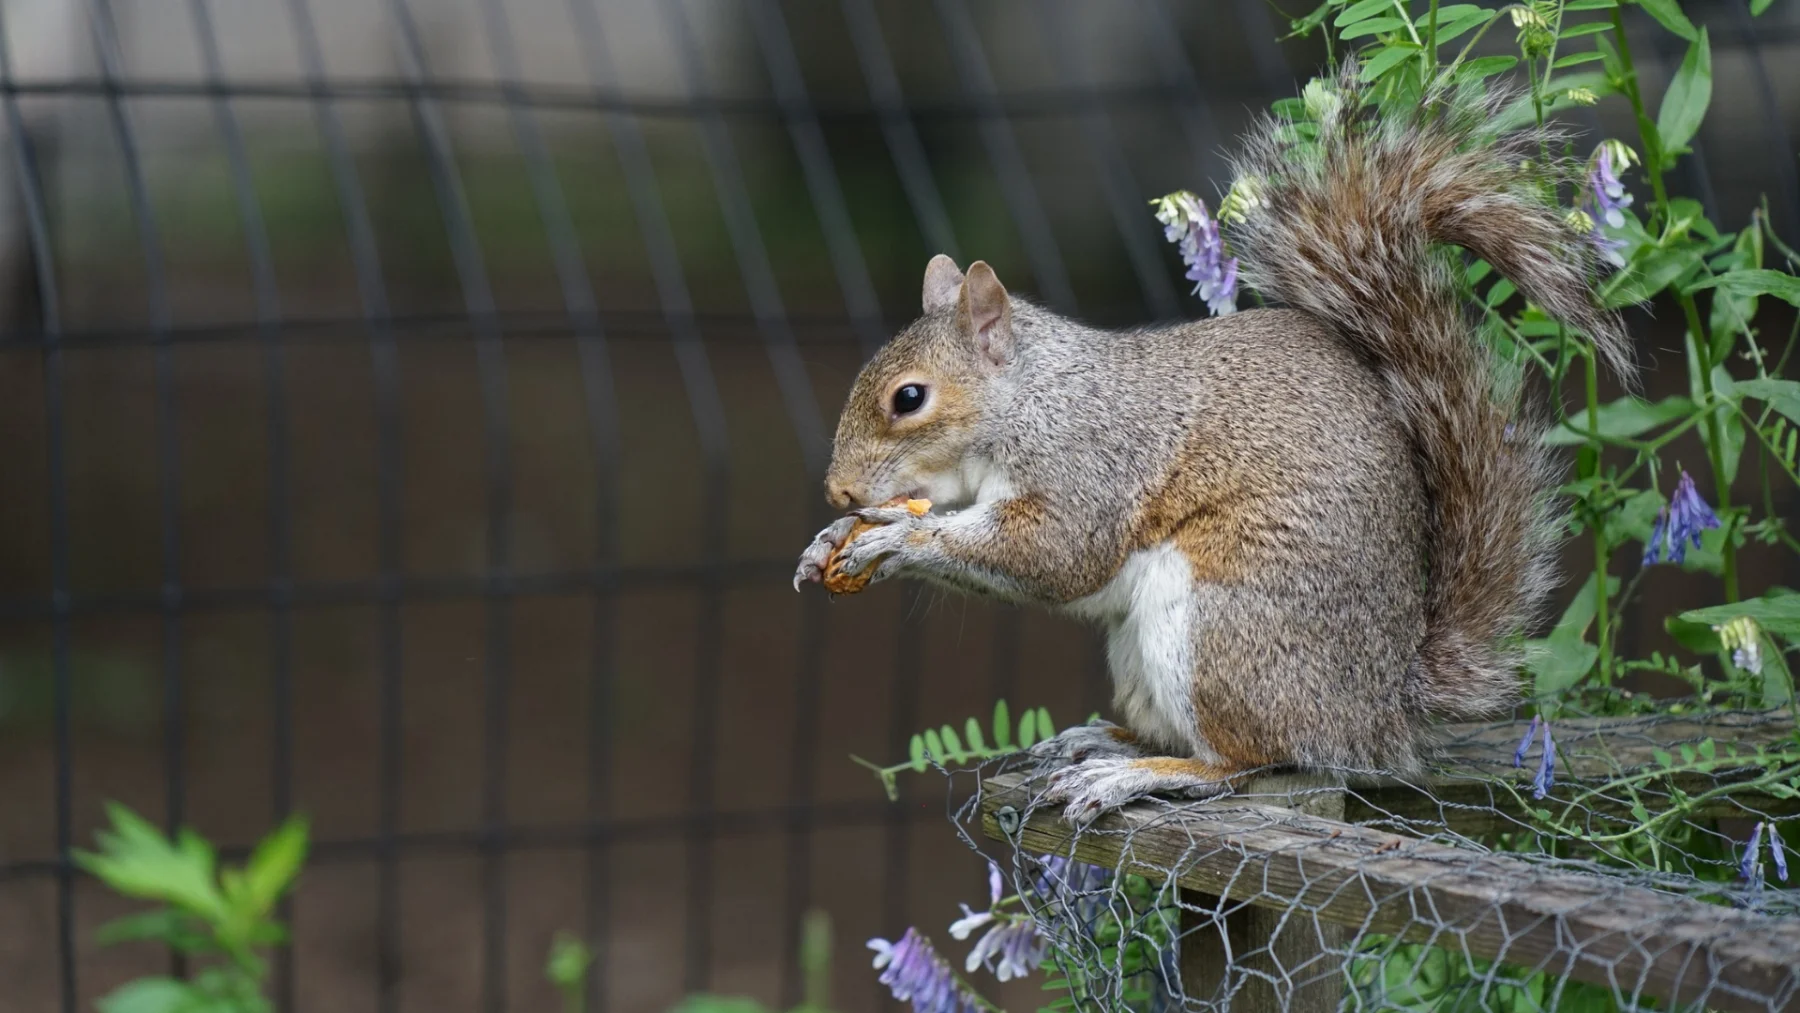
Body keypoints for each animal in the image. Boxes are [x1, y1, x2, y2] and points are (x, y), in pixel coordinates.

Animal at [793, 81, 1632, 825]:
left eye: (909, 398)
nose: (839, 492)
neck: (1032, 397)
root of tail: (1382, 707)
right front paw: (832, 538)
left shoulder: (1090, 460)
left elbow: (1056, 551)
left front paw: (899, 535)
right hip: (1142, 652)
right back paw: (1107, 739)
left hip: (1220, 629)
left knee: (1248, 761)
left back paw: (1135, 774)